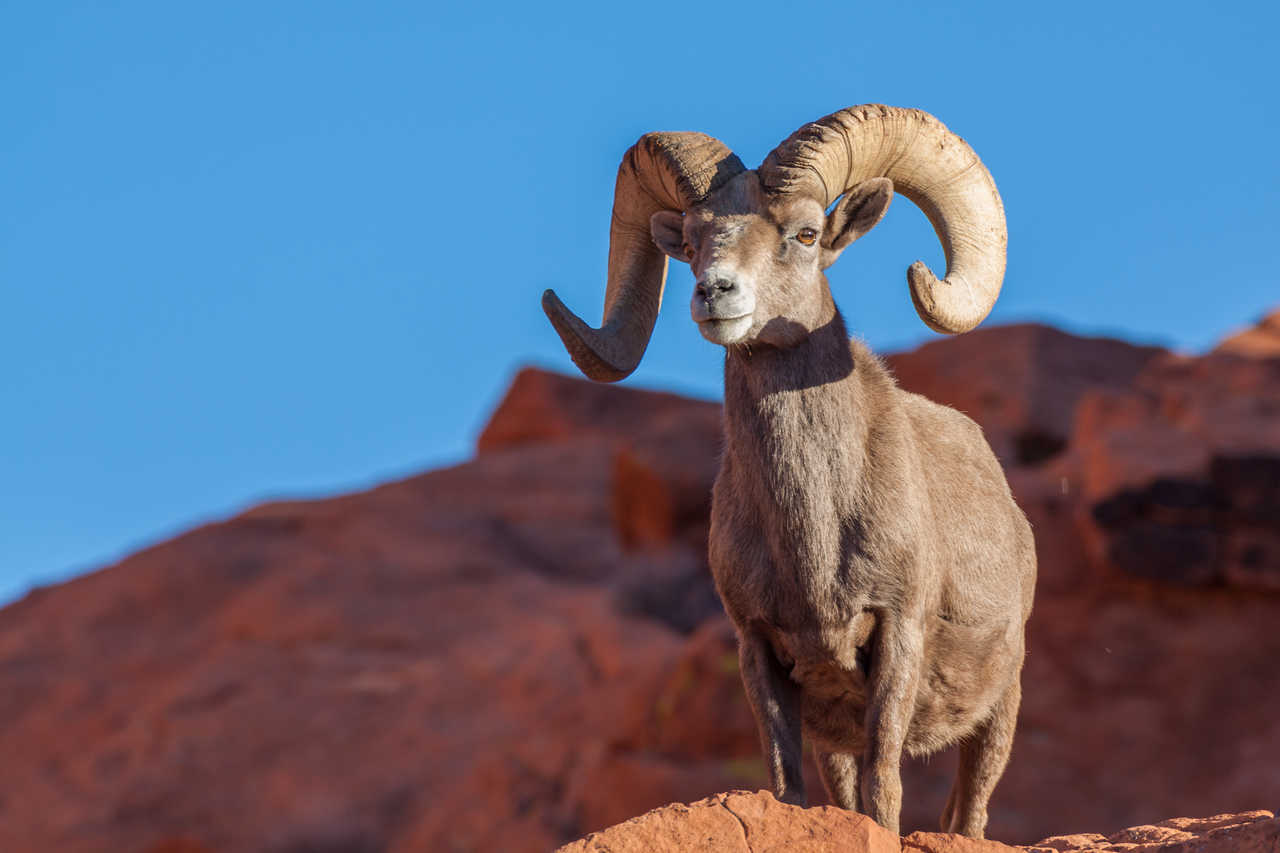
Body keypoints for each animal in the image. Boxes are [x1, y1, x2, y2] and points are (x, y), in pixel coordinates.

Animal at [540, 103, 1029, 835]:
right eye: (691, 241)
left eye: (804, 233)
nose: (715, 293)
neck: (815, 534)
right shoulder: (762, 652)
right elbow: (786, 786)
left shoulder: (897, 636)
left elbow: (885, 788)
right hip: (838, 738)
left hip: (999, 710)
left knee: (969, 812)